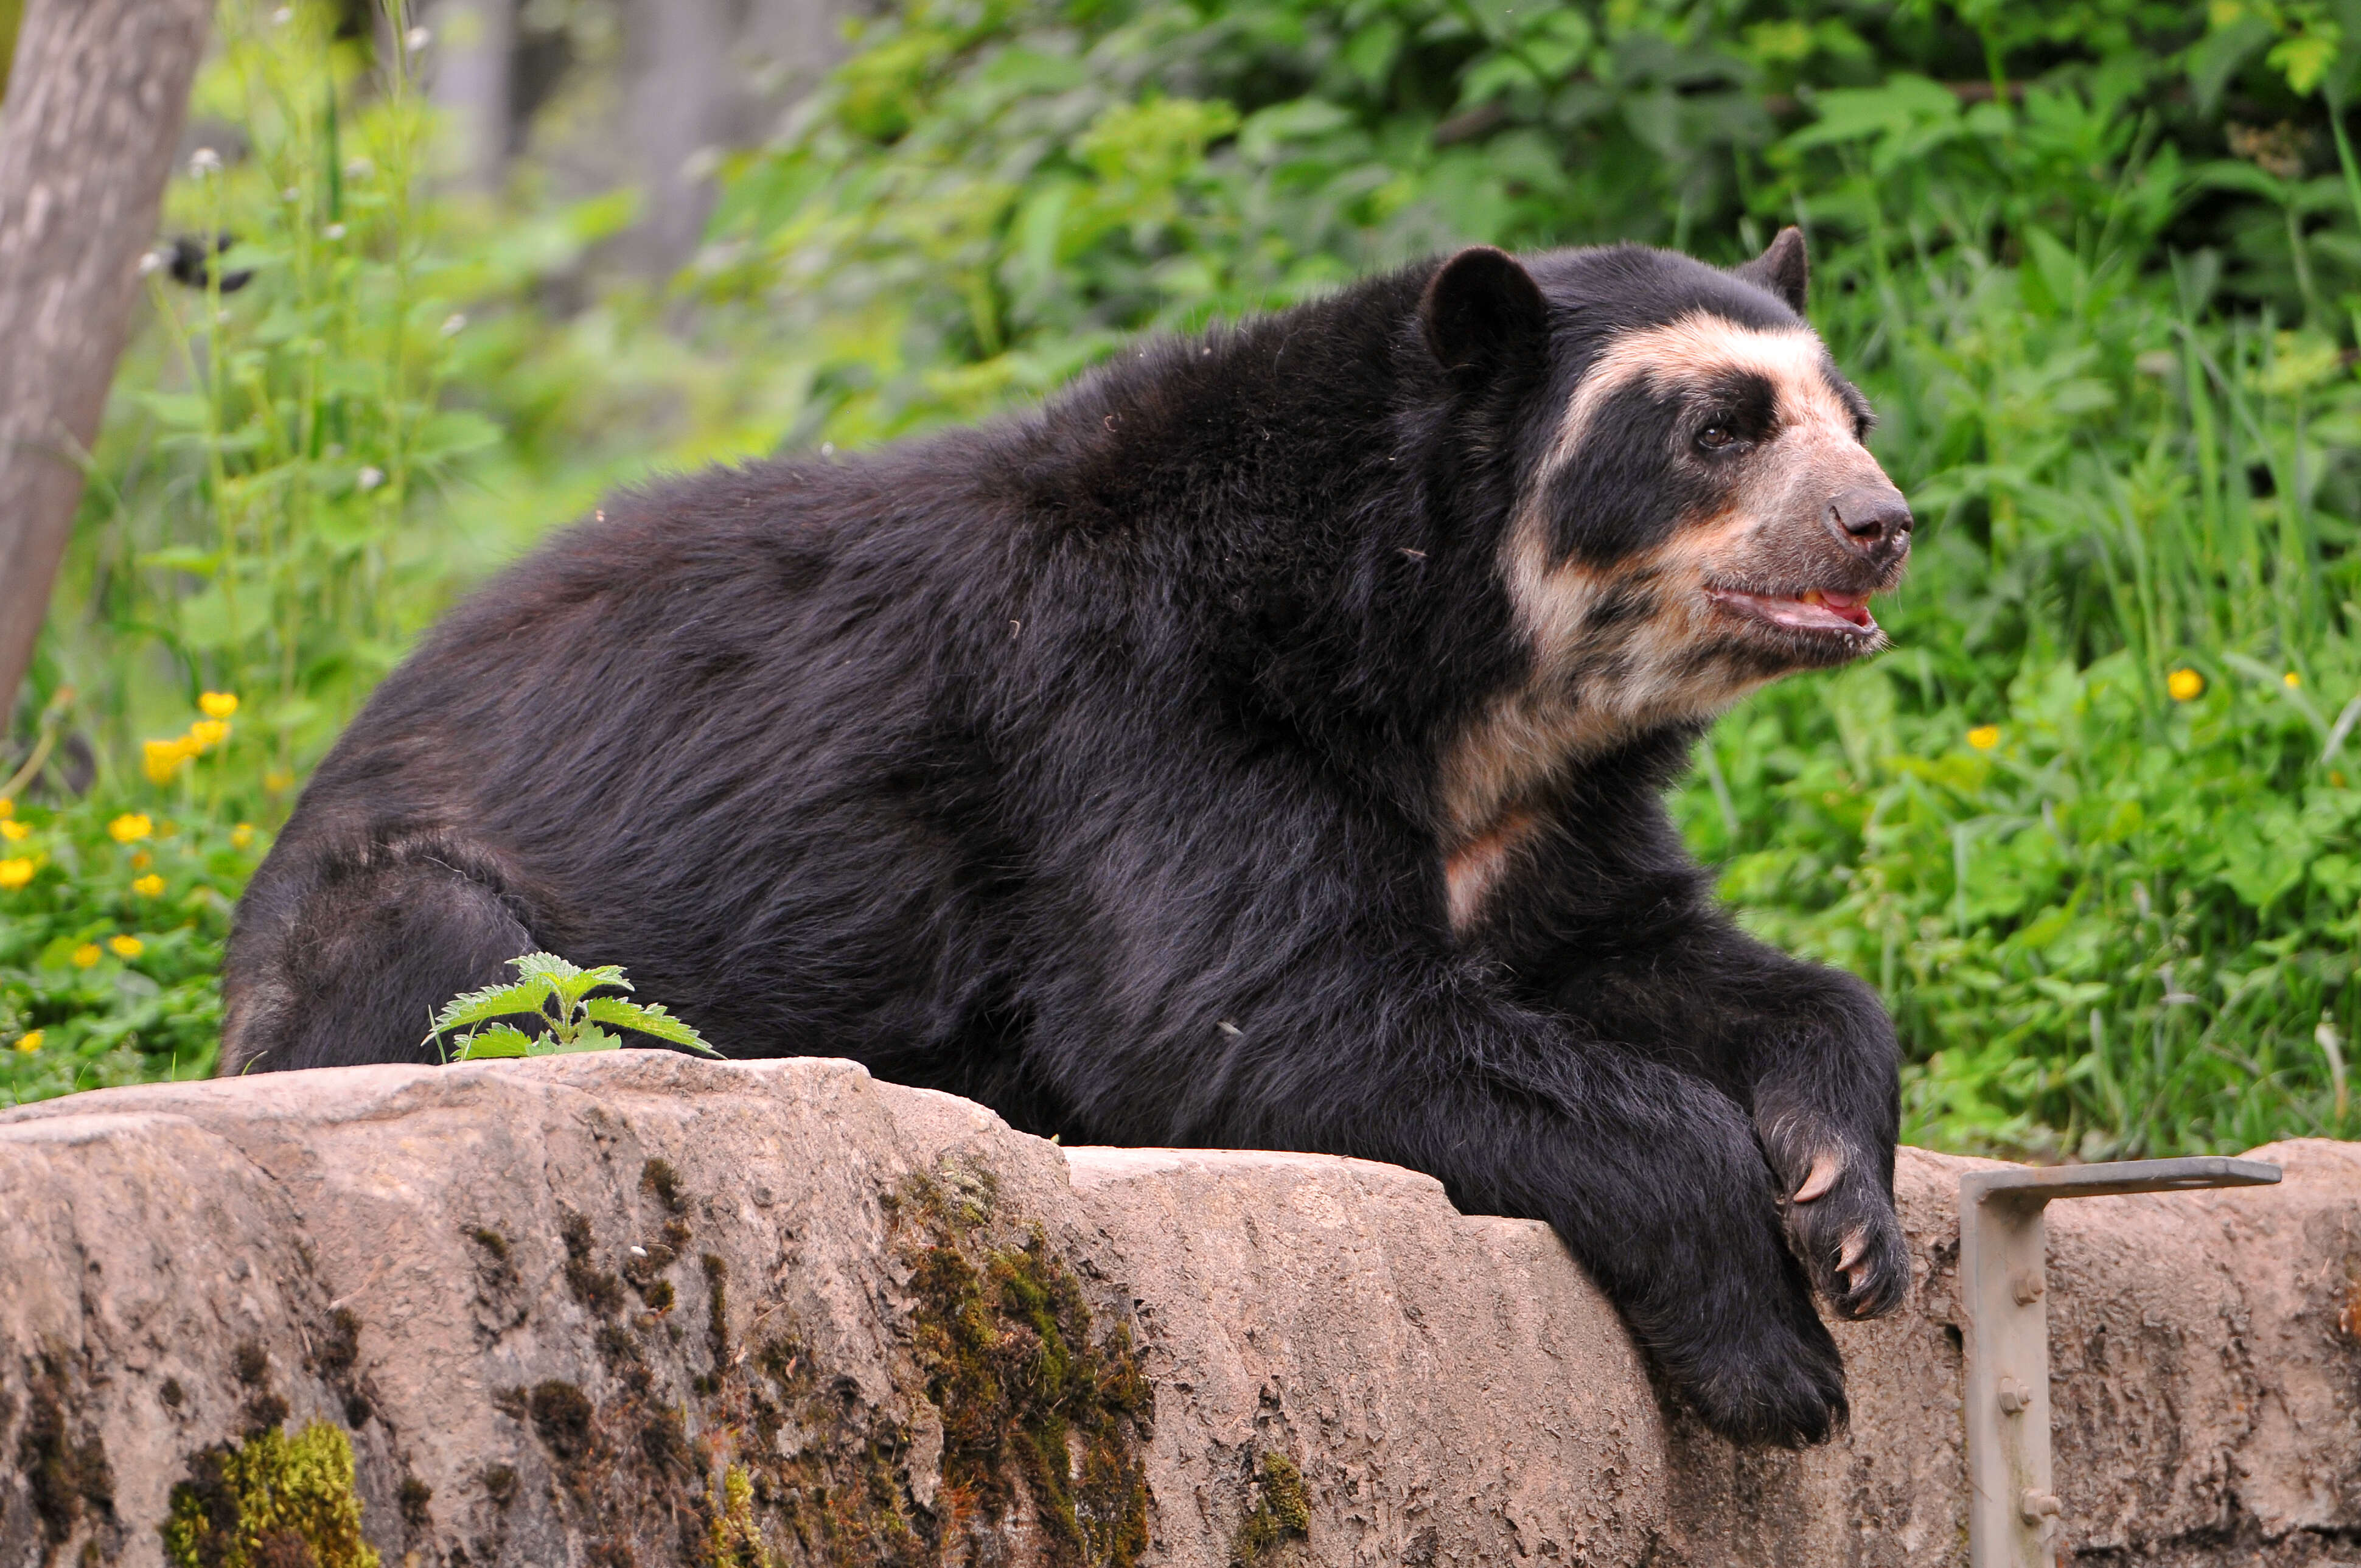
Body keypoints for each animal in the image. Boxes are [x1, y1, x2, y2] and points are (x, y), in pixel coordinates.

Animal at [221, 230, 1917, 1445]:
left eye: (1851, 418)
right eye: (1718, 428)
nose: (1880, 522)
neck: (1455, 677)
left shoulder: (1542, 818)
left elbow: (1662, 957)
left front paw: (1846, 1212)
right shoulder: (1139, 710)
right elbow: (1249, 1014)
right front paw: (1774, 1359)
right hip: (404, 919)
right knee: (444, 959)